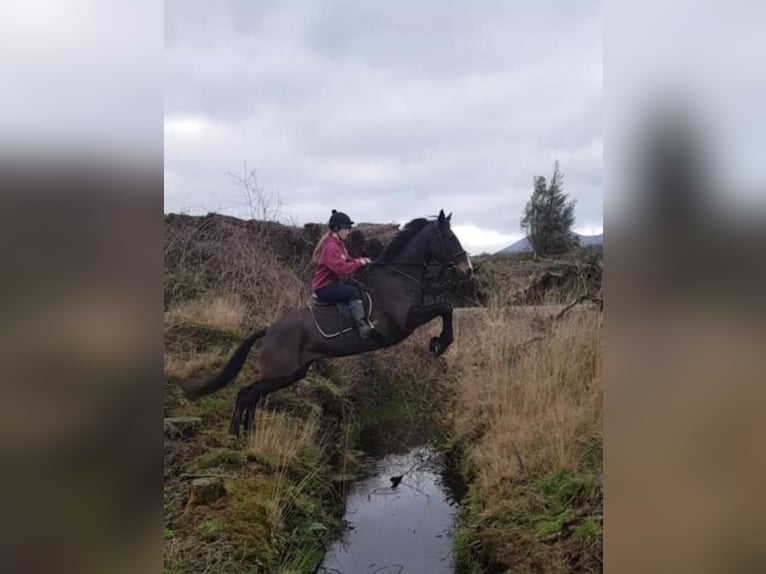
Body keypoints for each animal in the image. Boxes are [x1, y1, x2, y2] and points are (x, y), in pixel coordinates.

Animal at [182, 209, 474, 438]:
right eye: (449, 238)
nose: (467, 270)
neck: (398, 275)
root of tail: (269, 330)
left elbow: (445, 309)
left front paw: (439, 343)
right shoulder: (407, 319)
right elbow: (445, 308)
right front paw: (440, 343)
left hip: (291, 374)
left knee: (252, 396)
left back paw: (247, 434)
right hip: (281, 373)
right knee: (245, 394)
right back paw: (236, 435)